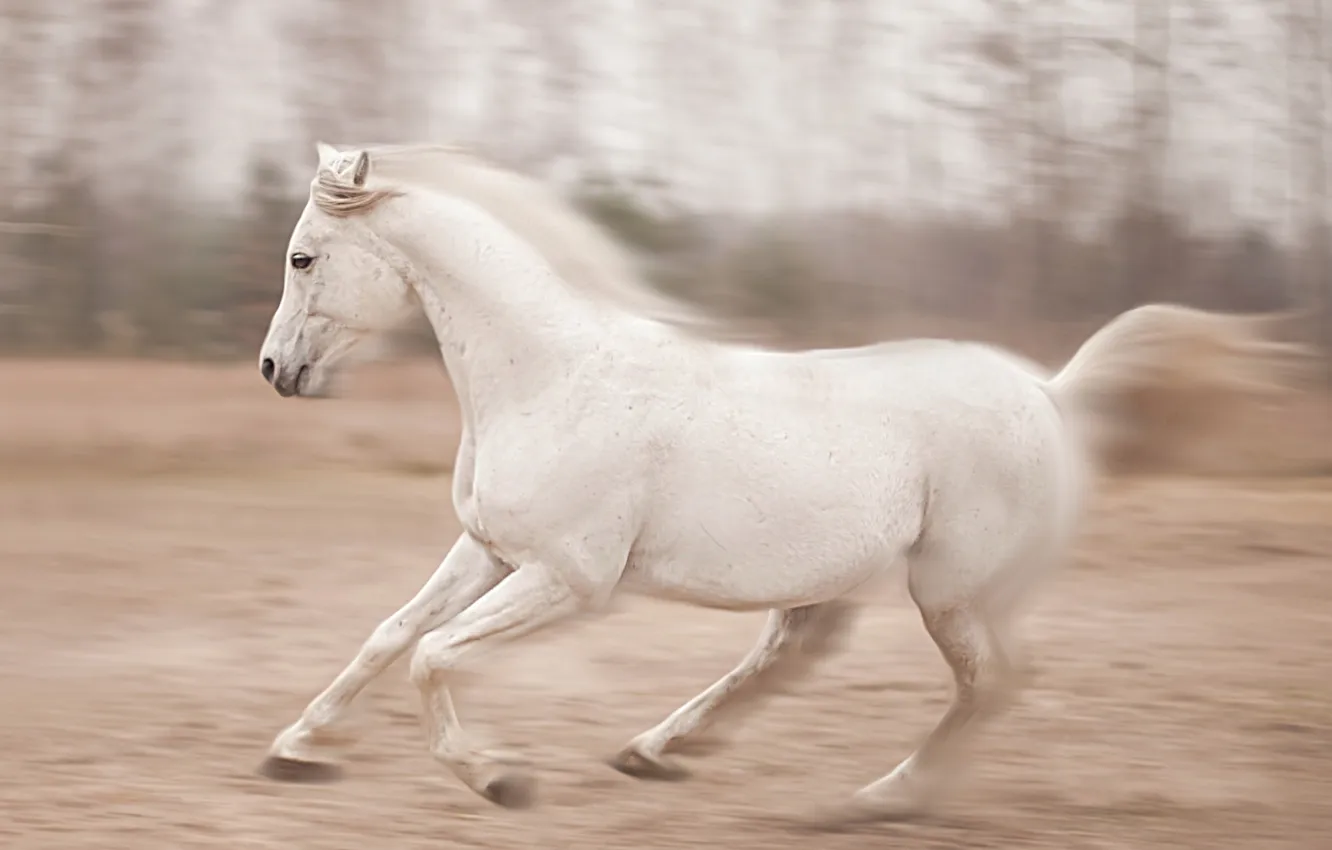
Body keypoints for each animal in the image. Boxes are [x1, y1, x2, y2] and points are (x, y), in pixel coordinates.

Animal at [255, 141, 1308, 820]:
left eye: (303, 256)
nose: (275, 371)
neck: (551, 375)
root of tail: (1050, 394)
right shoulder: (488, 551)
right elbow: (390, 635)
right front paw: (294, 752)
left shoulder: (569, 581)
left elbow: (434, 657)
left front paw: (497, 778)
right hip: (850, 582)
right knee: (796, 654)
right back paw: (657, 752)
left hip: (952, 593)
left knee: (992, 684)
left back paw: (880, 798)